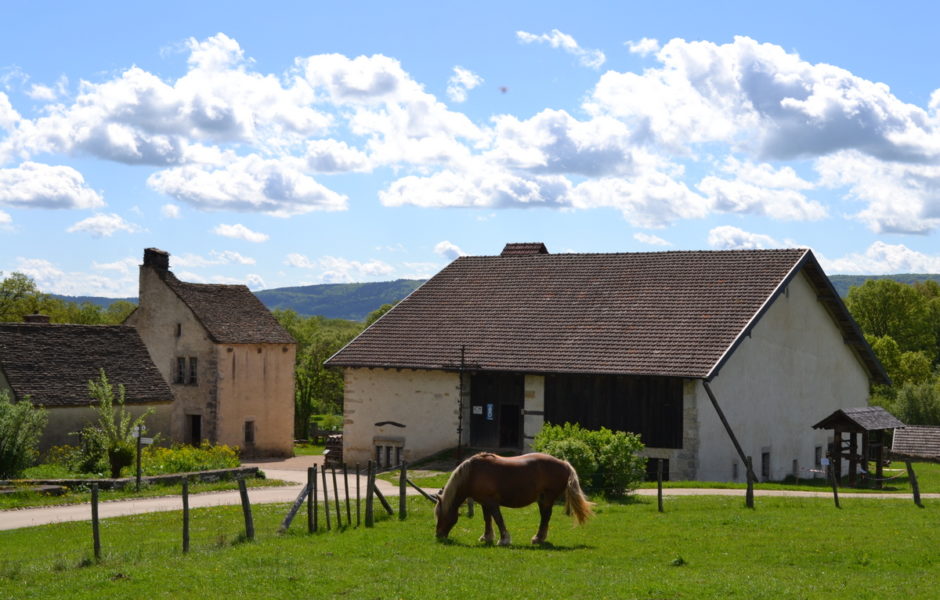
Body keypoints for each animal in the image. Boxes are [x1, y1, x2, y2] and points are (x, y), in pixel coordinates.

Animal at [436, 452, 596, 548]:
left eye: (440, 515)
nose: (438, 535)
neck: (473, 473)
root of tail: (564, 464)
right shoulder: (484, 502)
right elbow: (488, 519)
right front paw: (487, 537)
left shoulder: (492, 502)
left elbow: (498, 519)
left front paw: (504, 540)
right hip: (542, 499)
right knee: (545, 517)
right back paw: (540, 538)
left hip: (547, 499)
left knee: (545, 517)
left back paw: (538, 538)